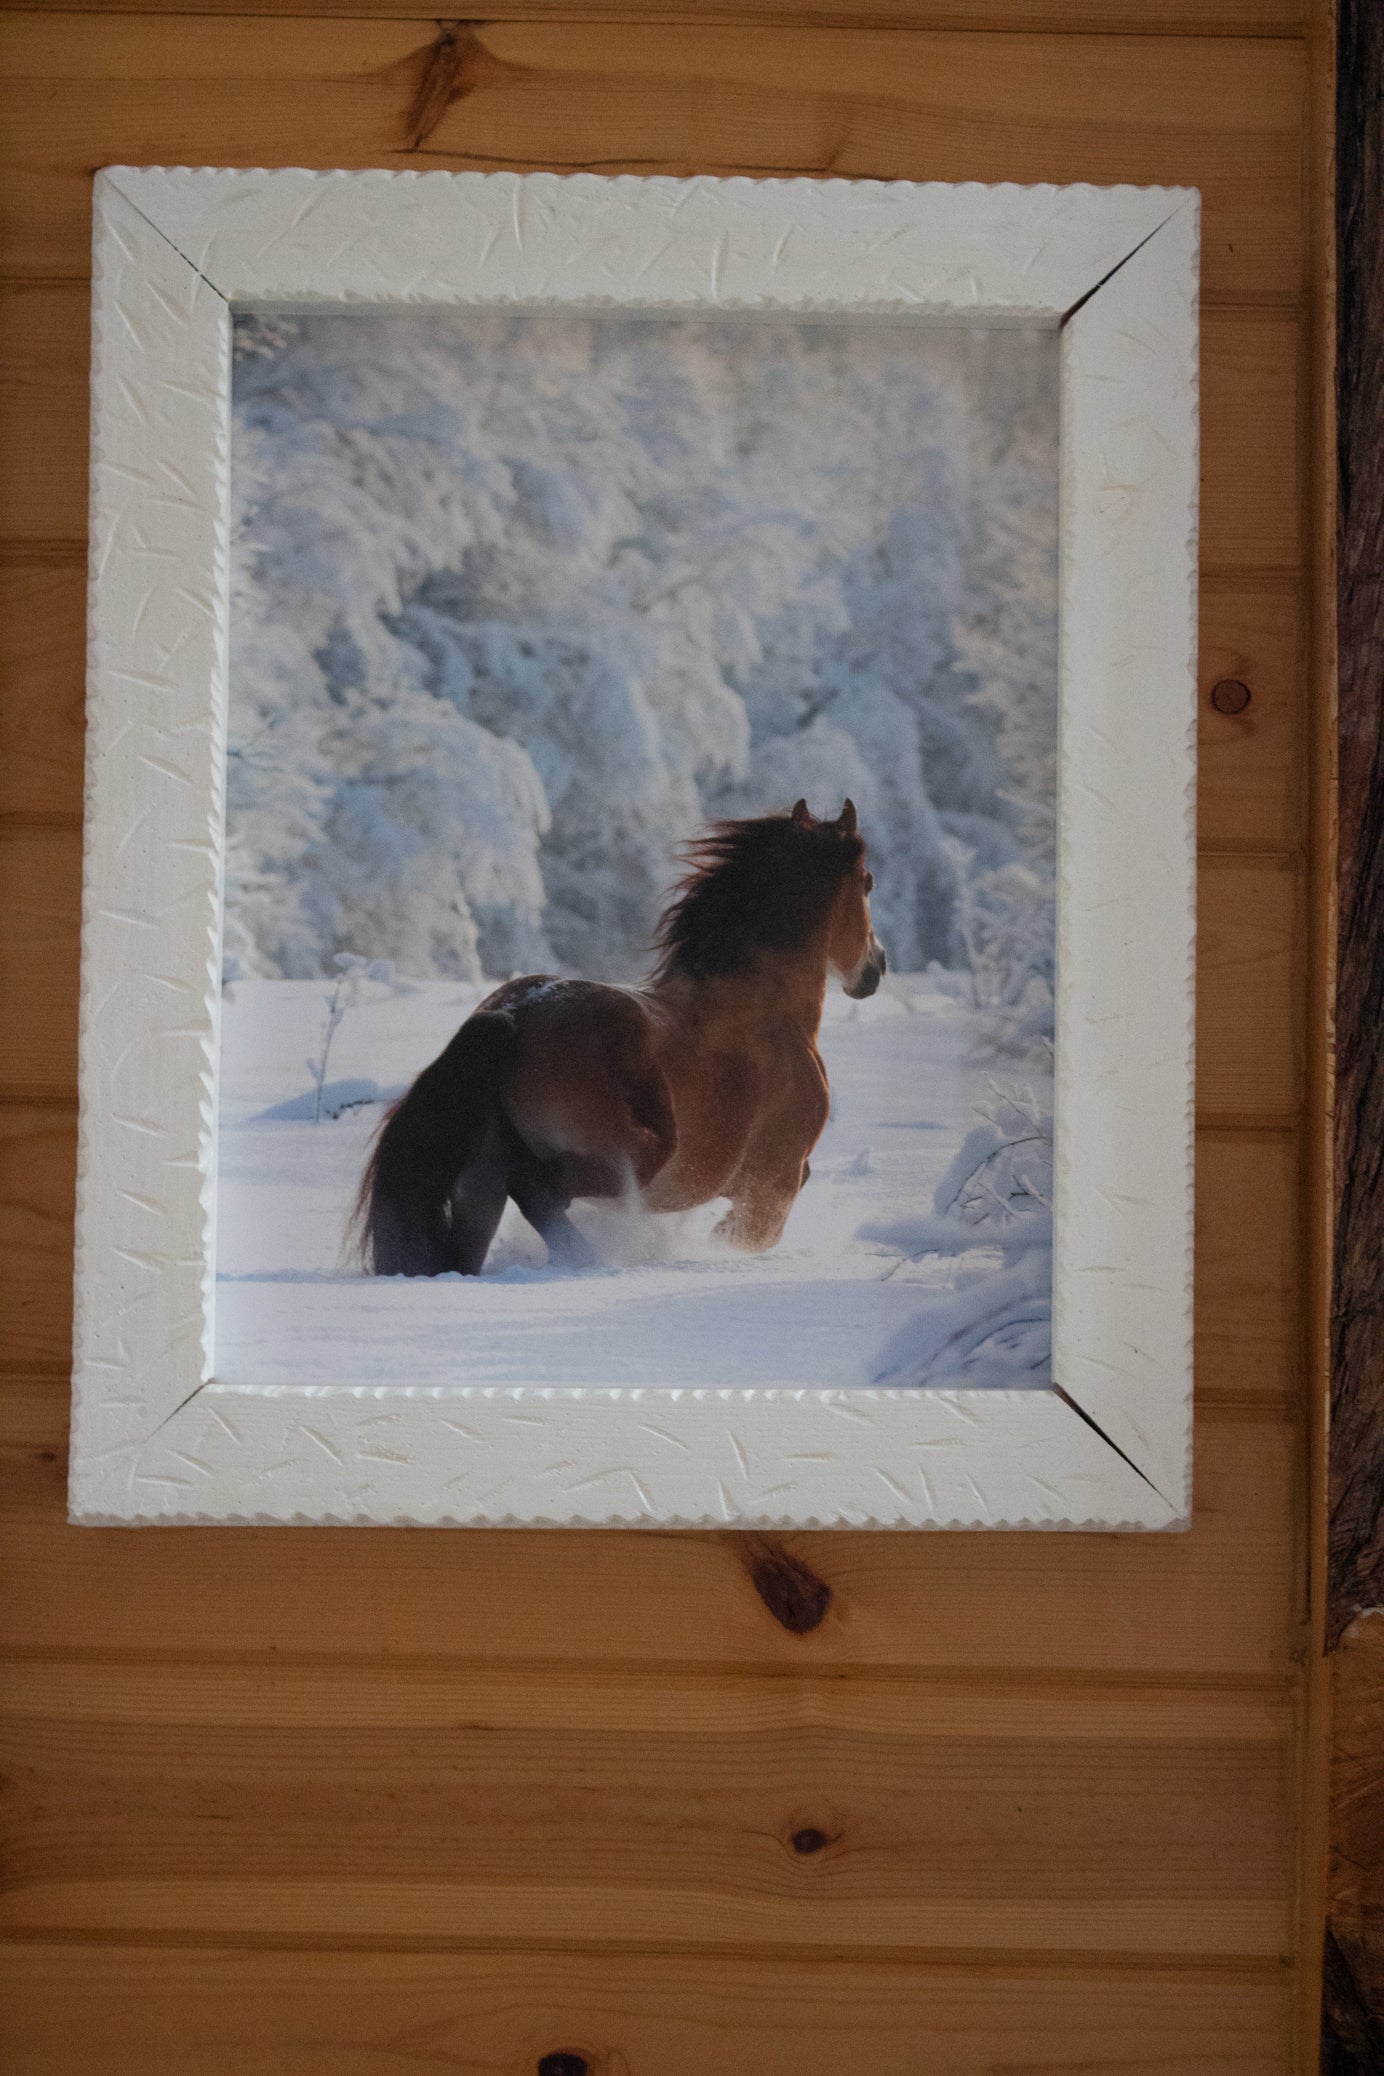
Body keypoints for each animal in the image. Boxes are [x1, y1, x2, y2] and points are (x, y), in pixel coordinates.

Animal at [353, 798, 886, 1277]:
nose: (876, 967)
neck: (769, 1010)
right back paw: (588, 1261)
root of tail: (513, 1016)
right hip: (633, 1157)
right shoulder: (776, 1183)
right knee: (538, 1193)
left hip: (480, 1181)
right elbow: (750, 1236)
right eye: (867, 883)